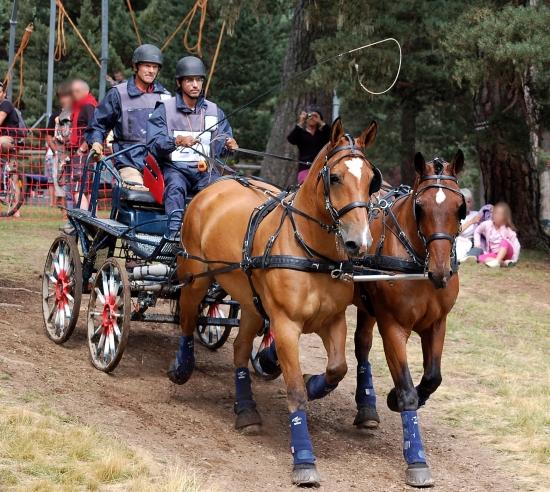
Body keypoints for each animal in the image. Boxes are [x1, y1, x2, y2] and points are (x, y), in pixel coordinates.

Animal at [170, 118, 382, 484]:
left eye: (371, 180)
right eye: (335, 177)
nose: (359, 242)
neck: (311, 251)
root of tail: (217, 184)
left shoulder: (333, 320)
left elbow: (337, 369)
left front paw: (315, 384)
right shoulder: (285, 325)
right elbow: (295, 391)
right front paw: (305, 460)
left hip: (251, 302)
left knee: (240, 349)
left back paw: (246, 411)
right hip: (195, 275)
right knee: (186, 317)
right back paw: (182, 366)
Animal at [354, 151, 466, 488]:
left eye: (460, 207)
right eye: (420, 206)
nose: (441, 271)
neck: (418, 265)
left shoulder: (436, 325)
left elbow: (432, 377)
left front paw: (398, 396)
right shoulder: (393, 326)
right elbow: (406, 391)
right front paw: (417, 462)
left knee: (361, 346)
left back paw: (367, 408)